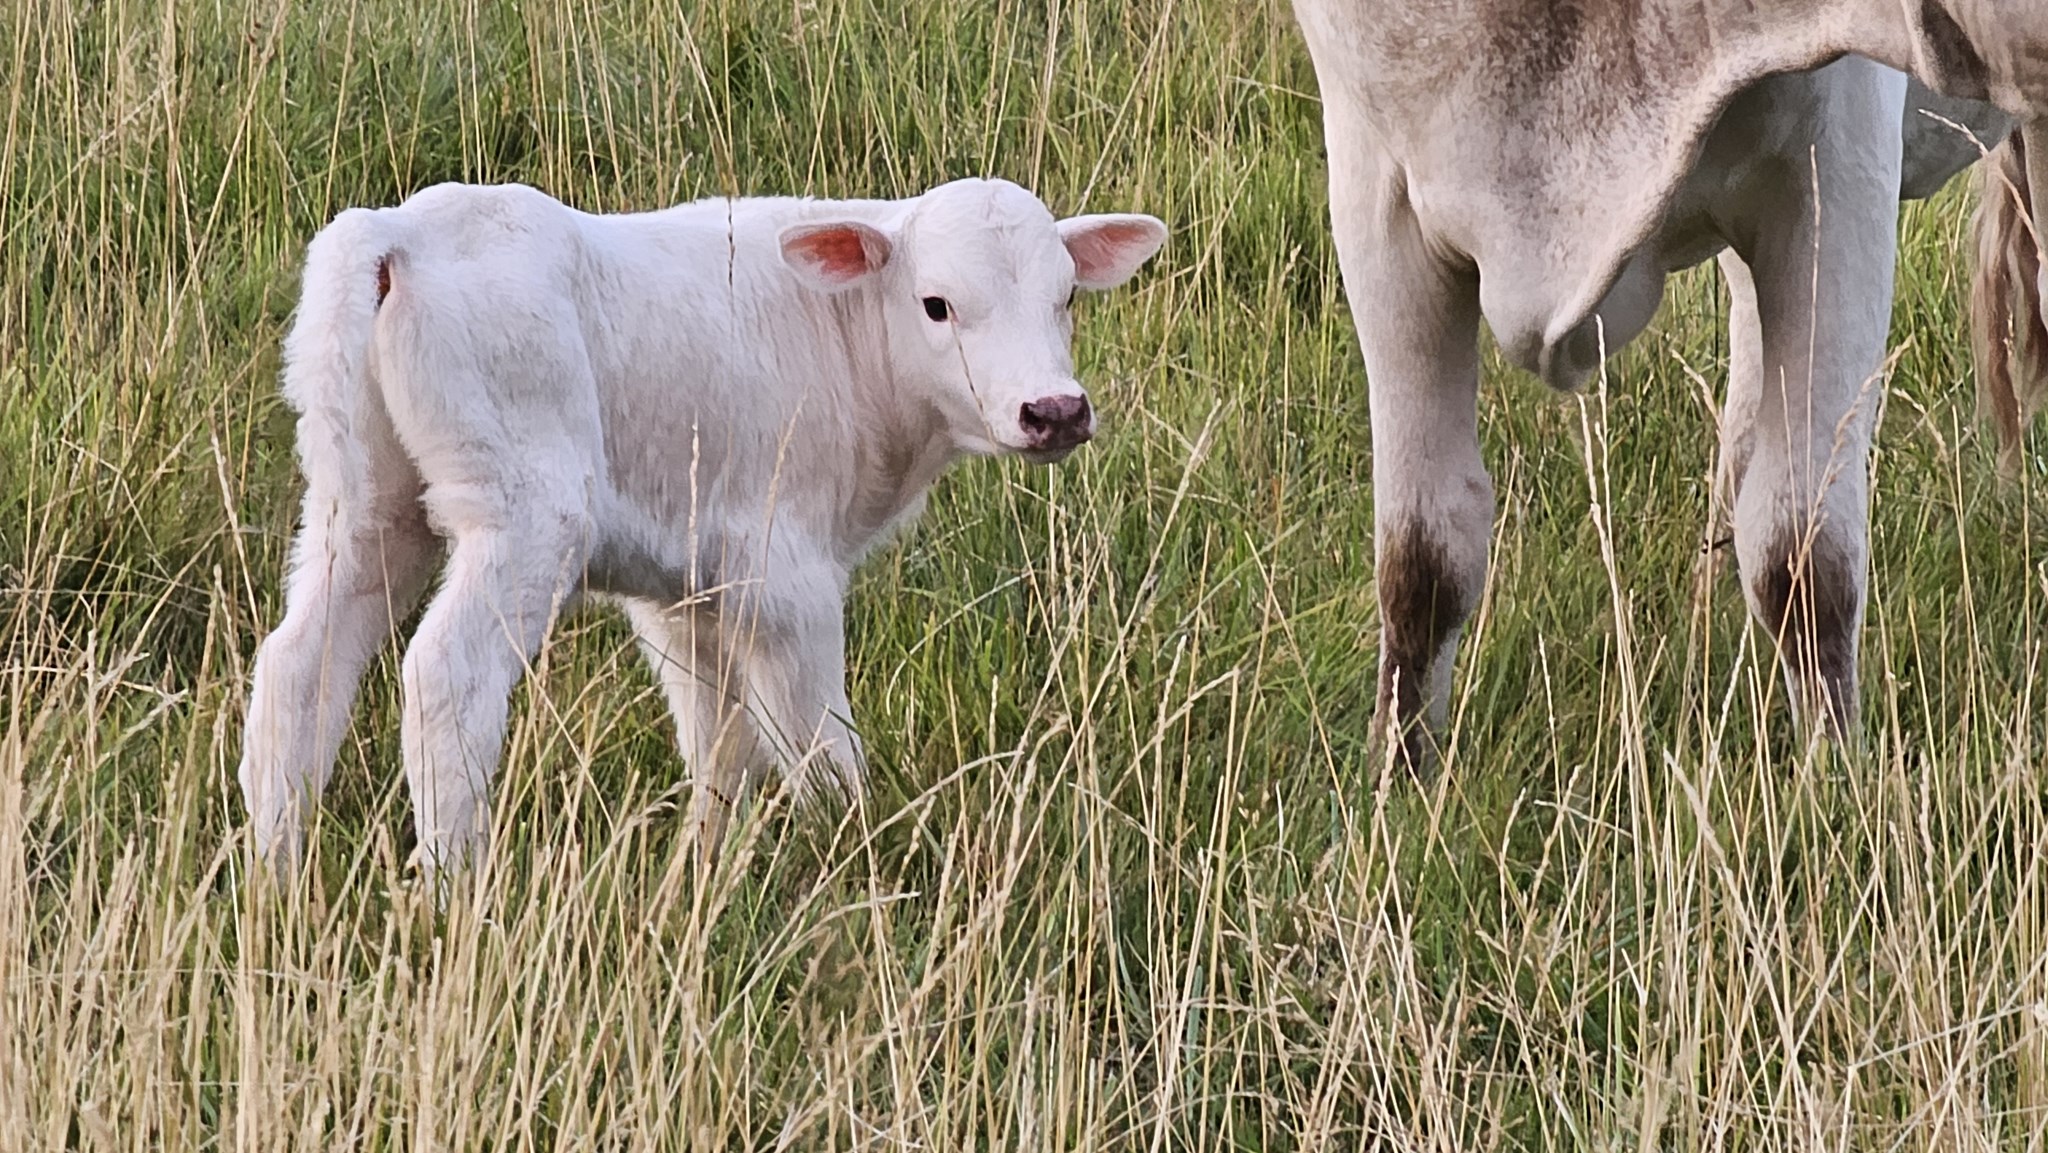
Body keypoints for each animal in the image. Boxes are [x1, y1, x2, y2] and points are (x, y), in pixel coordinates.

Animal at [237, 177, 1167, 874]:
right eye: (936, 305)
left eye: (1066, 297)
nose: (1054, 411)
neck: (851, 343)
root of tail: (396, 234)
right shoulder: (783, 575)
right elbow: (814, 740)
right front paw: (855, 851)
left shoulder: (683, 588)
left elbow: (719, 741)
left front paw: (710, 862)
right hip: (525, 504)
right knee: (445, 671)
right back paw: (454, 885)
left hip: (363, 498)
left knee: (298, 662)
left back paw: (276, 874)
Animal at [1287, 0, 2042, 771]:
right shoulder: (1376, 188)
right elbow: (1422, 554)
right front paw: (1397, 772)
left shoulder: (1837, 157)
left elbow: (1804, 551)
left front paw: (1830, 778)